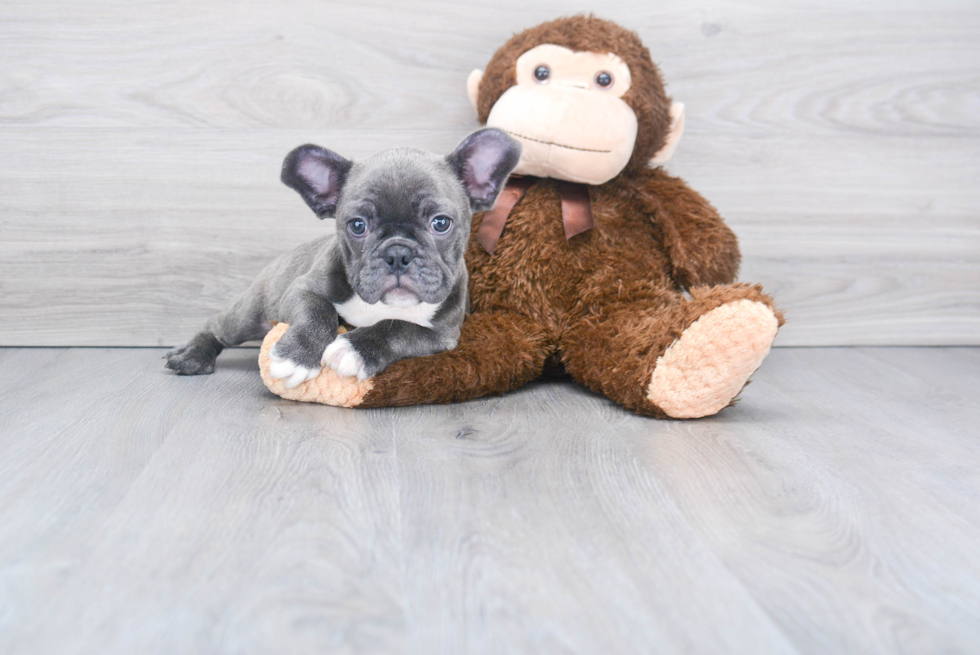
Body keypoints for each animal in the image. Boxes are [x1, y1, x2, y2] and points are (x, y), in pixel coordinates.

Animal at [165, 127, 524, 390]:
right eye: (358, 226)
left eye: (440, 223)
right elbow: (318, 311)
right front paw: (296, 356)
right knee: (217, 326)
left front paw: (353, 349)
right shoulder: (301, 289)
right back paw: (191, 355)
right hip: (251, 311)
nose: (398, 253)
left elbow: (399, 328)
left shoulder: (442, 334)